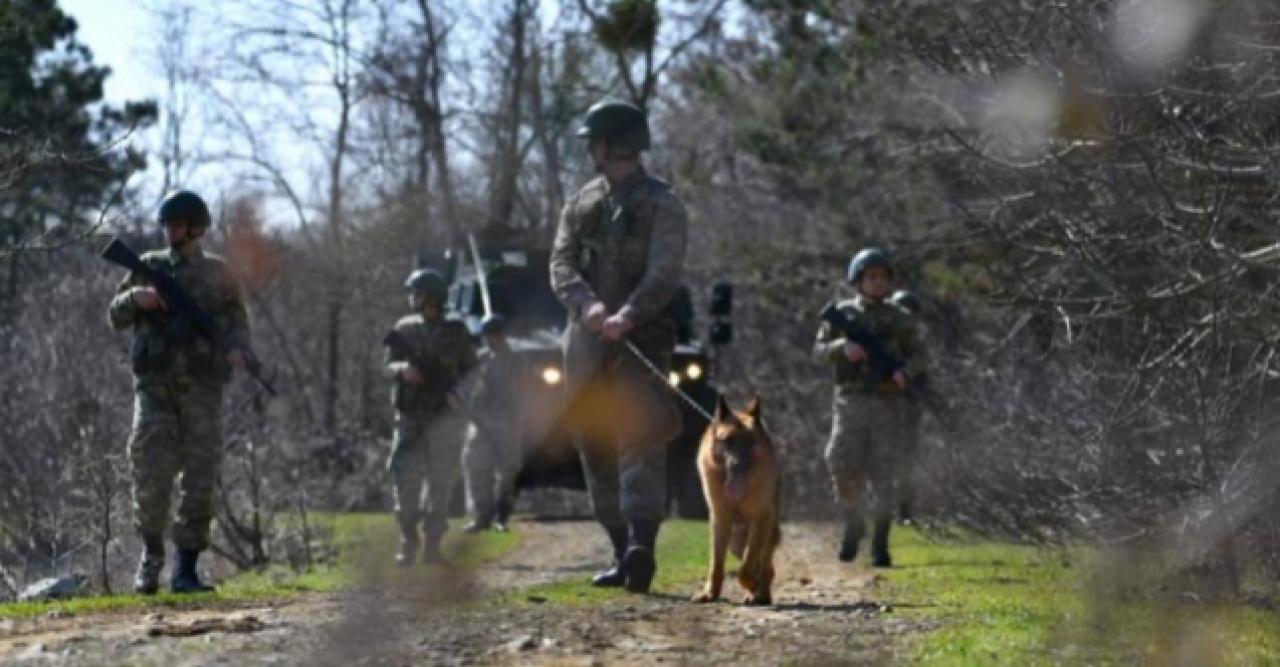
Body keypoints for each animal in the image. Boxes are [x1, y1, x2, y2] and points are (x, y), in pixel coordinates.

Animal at [691, 391, 778, 606]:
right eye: (728, 440)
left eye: (750, 441)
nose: (738, 465)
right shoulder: (719, 520)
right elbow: (716, 563)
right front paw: (710, 594)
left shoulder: (761, 519)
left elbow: (746, 567)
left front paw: (753, 584)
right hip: (736, 542)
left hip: (766, 532)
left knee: (765, 566)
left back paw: (761, 593)